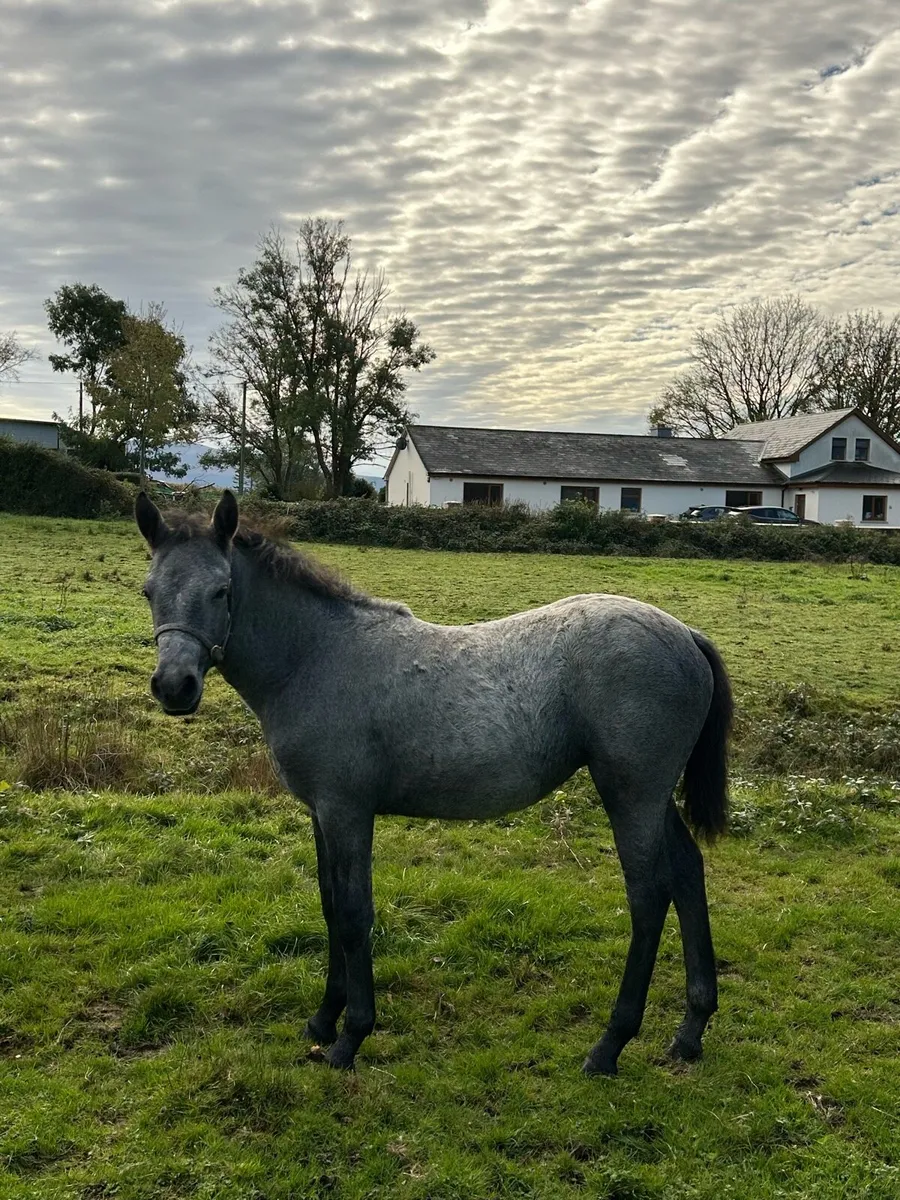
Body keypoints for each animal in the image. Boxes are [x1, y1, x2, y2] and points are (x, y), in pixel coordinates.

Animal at [135, 490, 732, 1076]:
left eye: (221, 590)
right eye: (149, 591)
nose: (174, 687)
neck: (314, 657)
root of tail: (684, 633)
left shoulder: (347, 811)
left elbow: (353, 915)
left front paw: (351, 1036)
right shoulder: (320, 813)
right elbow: (329, 907)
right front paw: (322, 1021)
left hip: (631, 795)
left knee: (649, 897)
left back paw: (610, 1046)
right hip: (652, 799)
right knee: (687, 873)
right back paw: (691, 1029)